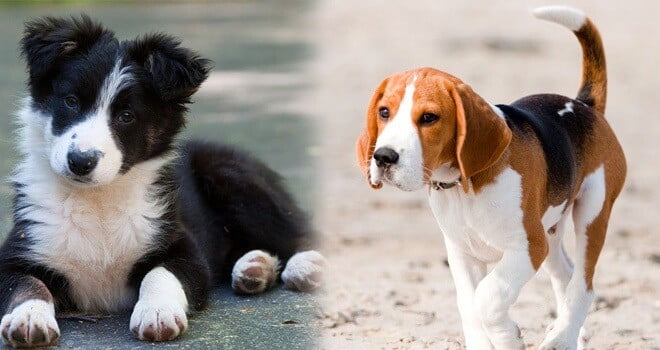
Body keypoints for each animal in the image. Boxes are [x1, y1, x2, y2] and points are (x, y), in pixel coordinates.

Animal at [0, 14, 324, 348]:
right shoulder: (18, 251)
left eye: (127, 116)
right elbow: (27, 285)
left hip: (231, 176)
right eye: (71, 101)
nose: (80, 161)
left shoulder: (183, 248)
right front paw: (28, 318)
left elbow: (159, 274)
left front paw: (157, 313)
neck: (97, 200)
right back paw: (256, 268)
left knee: (296, 229)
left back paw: (304, 265)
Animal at [358, 6, 628, 350]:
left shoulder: (528, 247)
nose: (383, 157)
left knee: (584, 284)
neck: (463, 187)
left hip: (592, 214)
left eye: (429, 118)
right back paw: (573, 333)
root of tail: (584, 105)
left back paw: (561, 338)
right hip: (551, 232)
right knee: (565, 275)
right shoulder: (462, 253)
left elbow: (486, 298)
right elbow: (468, 303)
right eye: (384, 112)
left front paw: (508, 336)